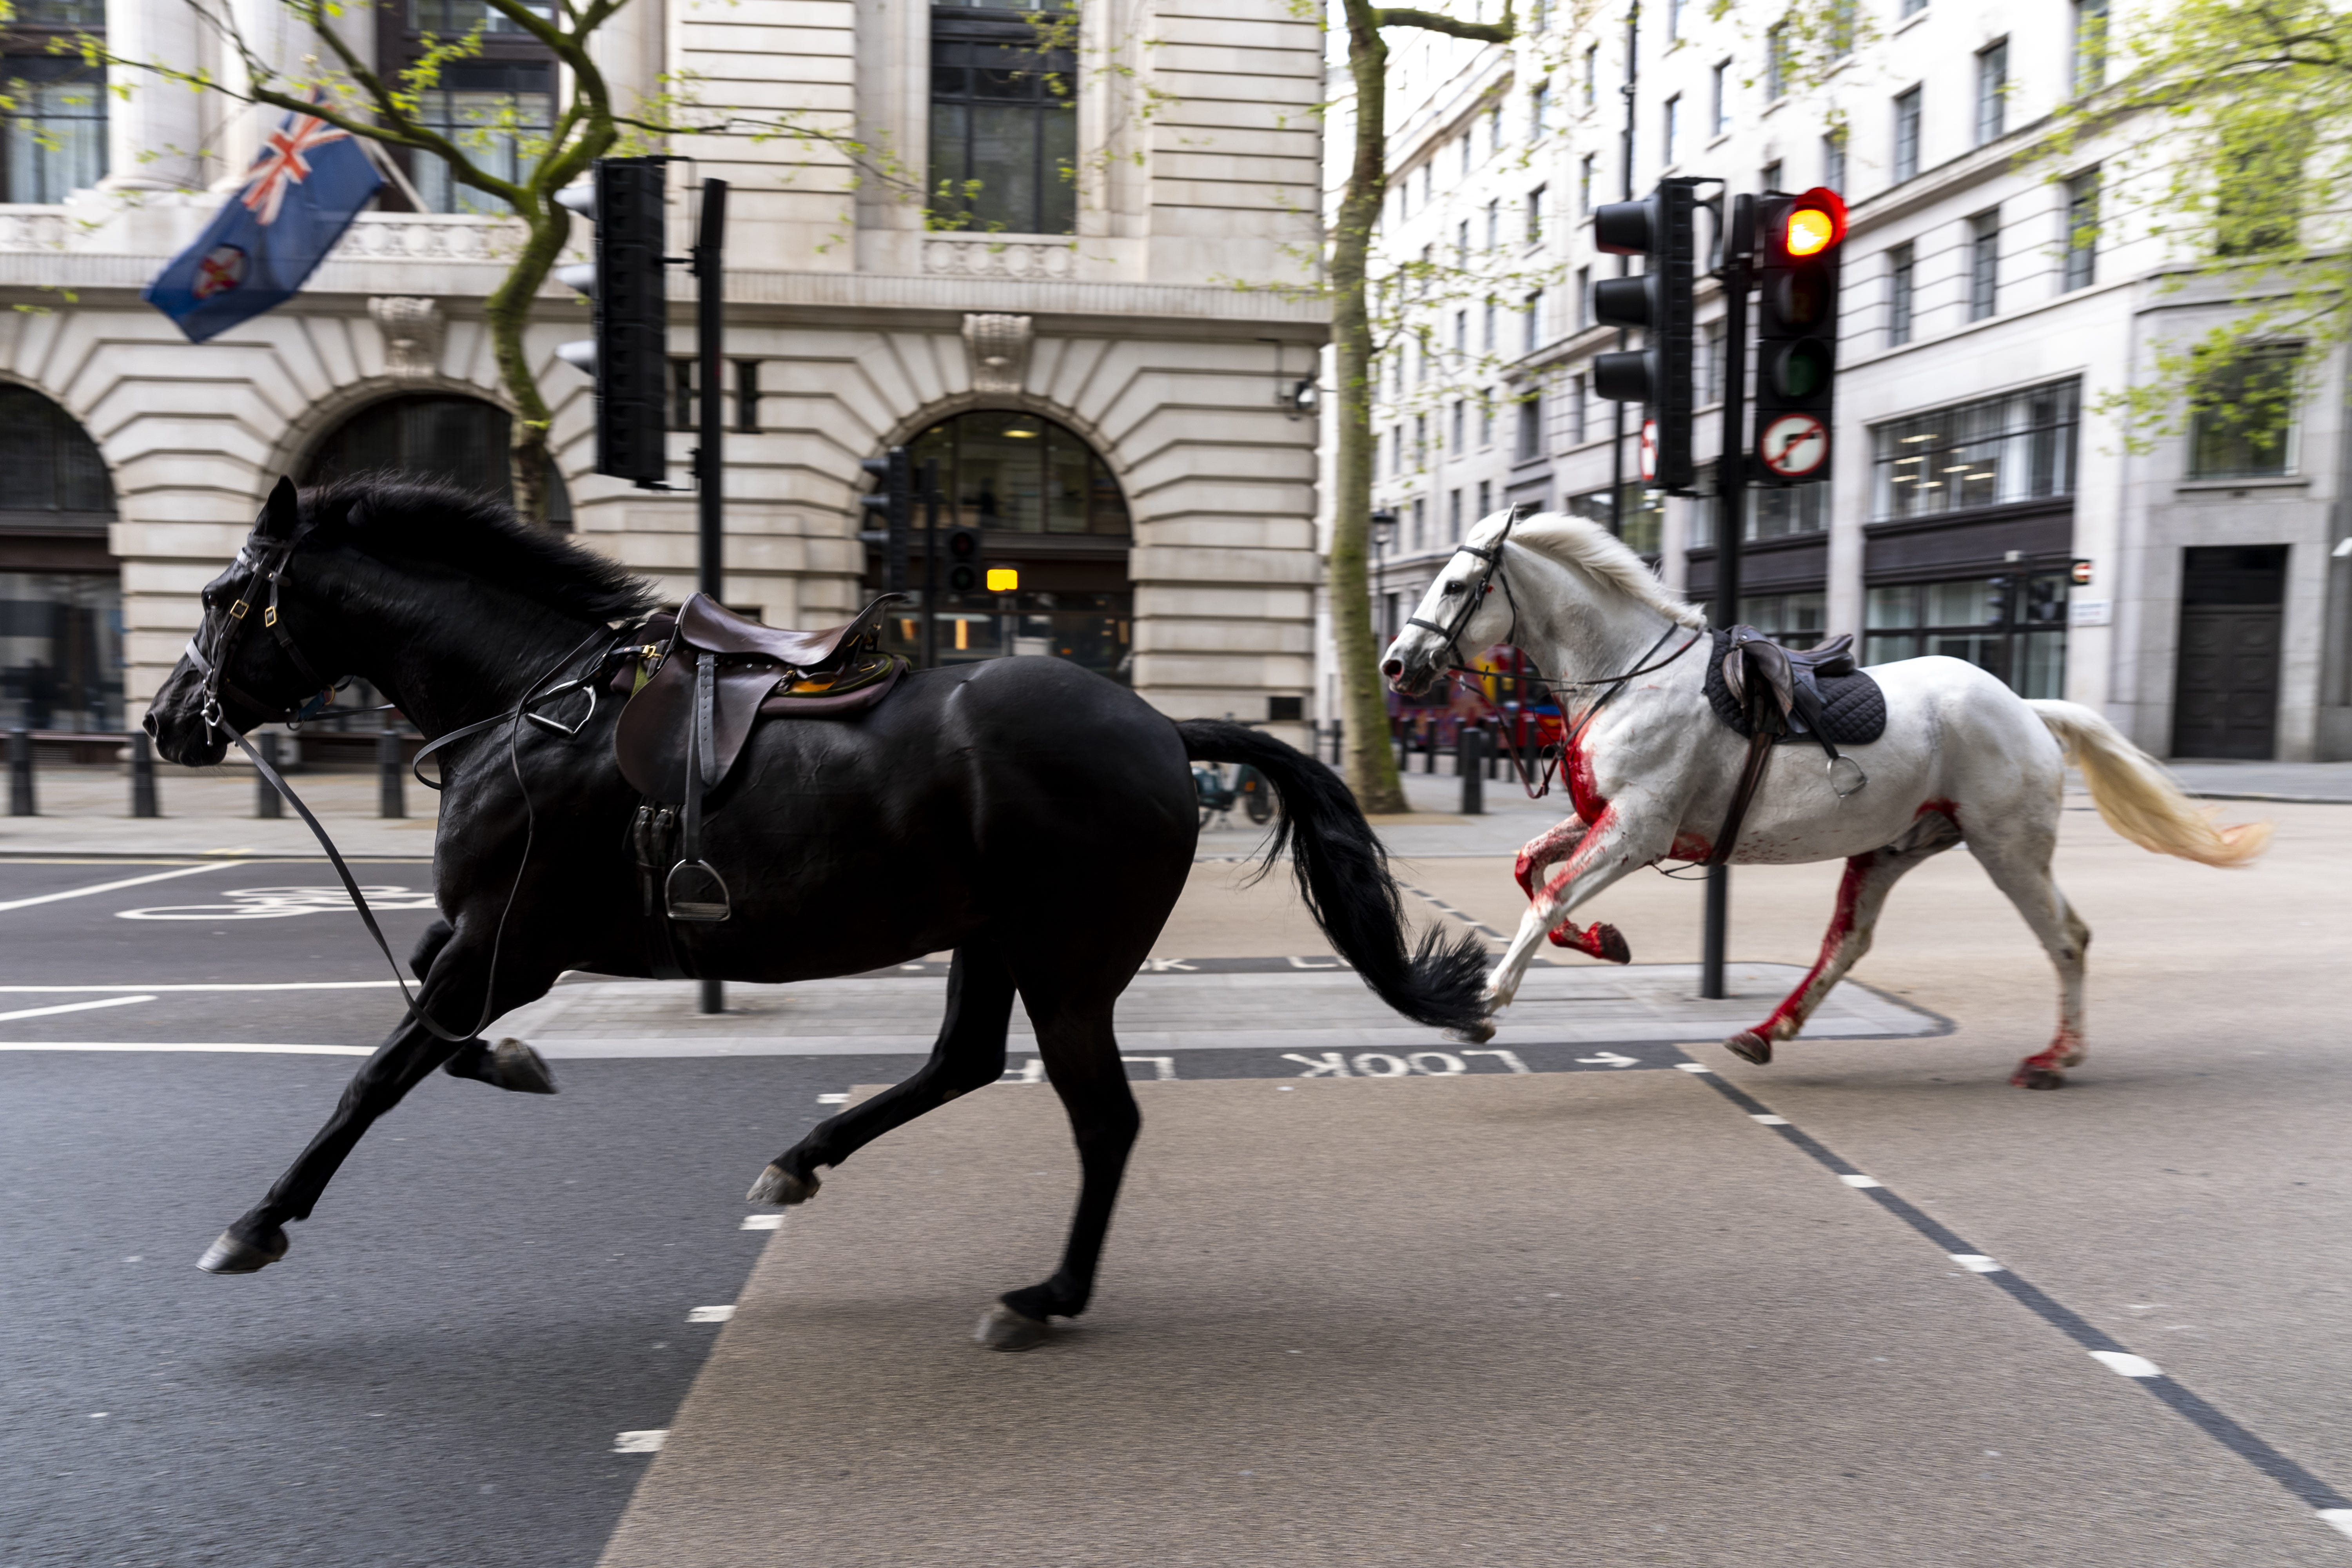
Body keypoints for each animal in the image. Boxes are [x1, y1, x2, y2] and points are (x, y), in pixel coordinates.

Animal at [142, 479, 1468, 1354]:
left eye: (219, 594)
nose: (162, 724)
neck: (531, 704)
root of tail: (1159, 725)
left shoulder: (510, 941)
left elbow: (378, 1073)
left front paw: (256, 1222)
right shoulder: (483, 940)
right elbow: (430, 1026)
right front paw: (517, 1064)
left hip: (1068, 959)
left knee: (1102, 1118)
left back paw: (1043, 1296)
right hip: (993, 936)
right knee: (962, 1061)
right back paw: (802, 1161)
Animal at [1383, 510, 2267, 1086]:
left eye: (1456, 584)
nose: (1395, 665)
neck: (1628, 675)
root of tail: (2026, 706)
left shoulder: (1638, 829)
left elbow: (1547, 897)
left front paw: (1486, 1000)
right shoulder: (1606, 819)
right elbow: (1531, 869)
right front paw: (1605, 940)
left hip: (2008, 848)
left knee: (2068, 939)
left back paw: (2058, 1056)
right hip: (1892, 847)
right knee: (1848, 942)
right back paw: (1766, 1032)